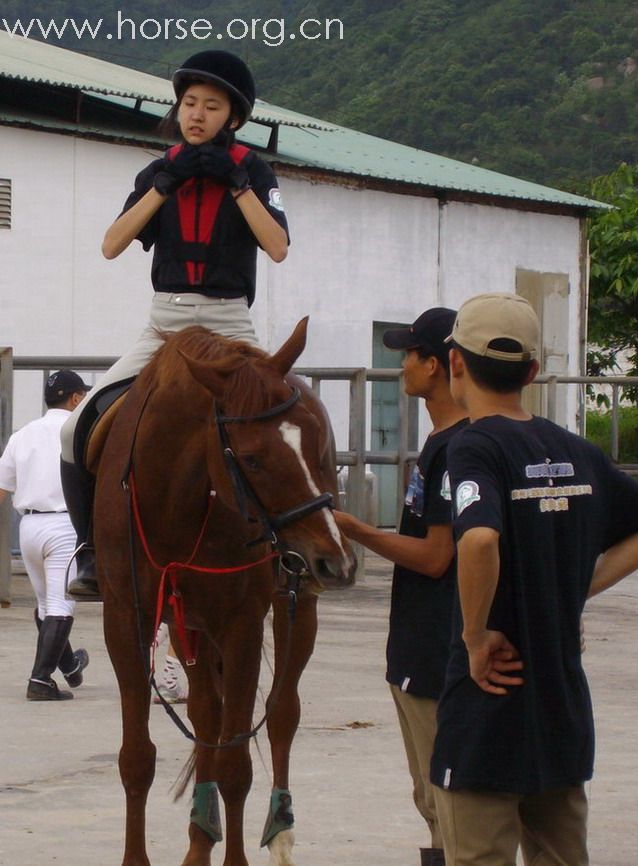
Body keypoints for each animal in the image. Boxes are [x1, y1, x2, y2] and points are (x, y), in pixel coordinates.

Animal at [92, 318, 358, 864]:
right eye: (253, 459)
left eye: (315, 443)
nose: (336, 561)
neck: (175, 499)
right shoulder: (126, 620)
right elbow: (137, 758)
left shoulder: (241, 627)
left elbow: (237, 765)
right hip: (188, 623)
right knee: (205, 715)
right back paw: (199, 838)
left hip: (293, 606)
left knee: (281, 714)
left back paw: (280, 831)